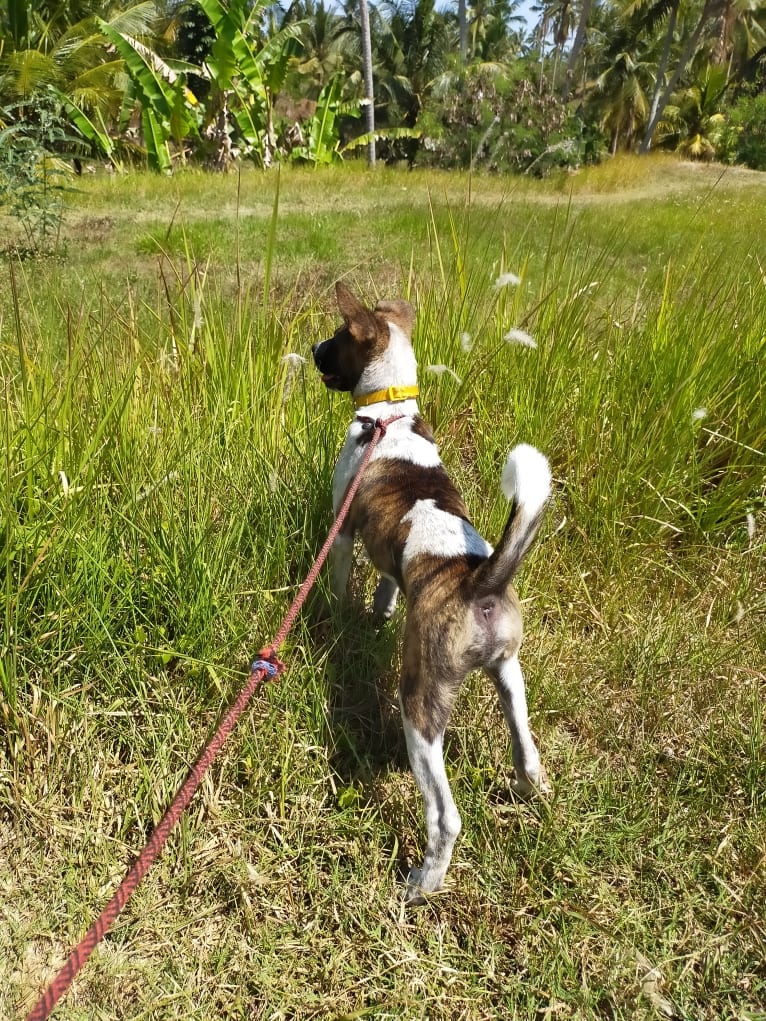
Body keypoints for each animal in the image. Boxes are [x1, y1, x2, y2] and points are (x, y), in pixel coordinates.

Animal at [312, 281, 551, 902]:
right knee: (528, 753)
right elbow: (385, 586)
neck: (389, 415)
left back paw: (421, 884)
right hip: (510, 676)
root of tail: (481, 581)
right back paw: (531, 793)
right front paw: (376, 614)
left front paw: (336, 621)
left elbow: (340, 585)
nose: (314, 350)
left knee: (445, 817)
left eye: (338, 338)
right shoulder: (387, 562)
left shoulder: (342, 532)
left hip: (419, 705)